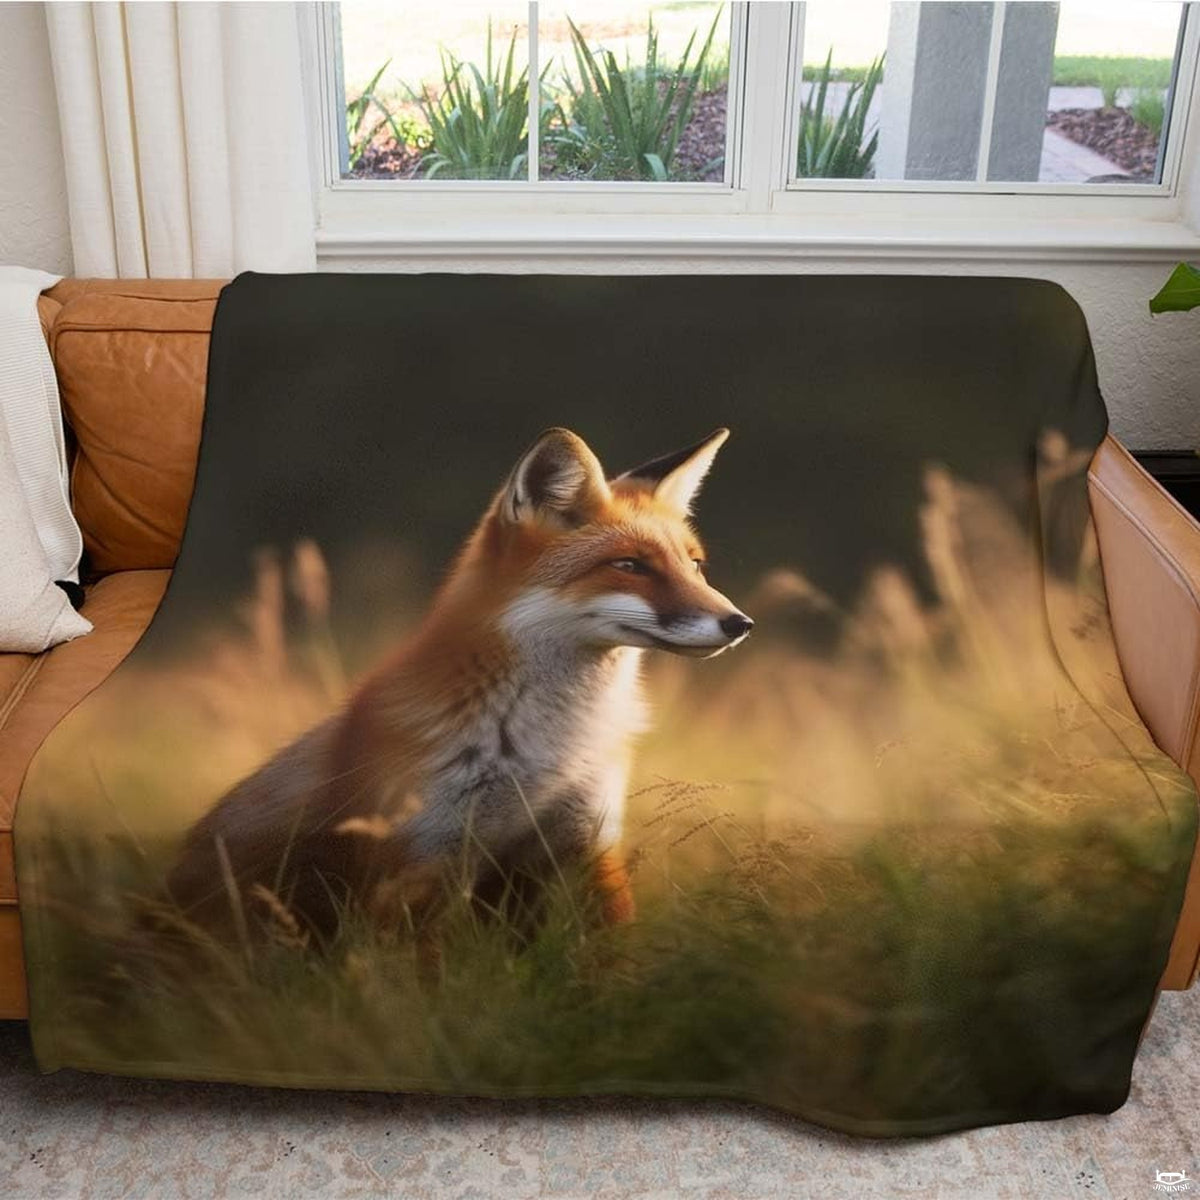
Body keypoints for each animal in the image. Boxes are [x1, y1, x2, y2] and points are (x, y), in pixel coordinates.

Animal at [167, 427, 753, 942]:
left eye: (695, 565)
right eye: (629, 565)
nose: (739, 623)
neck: (544, 747)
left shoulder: (586, 842)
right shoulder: (422, 855)